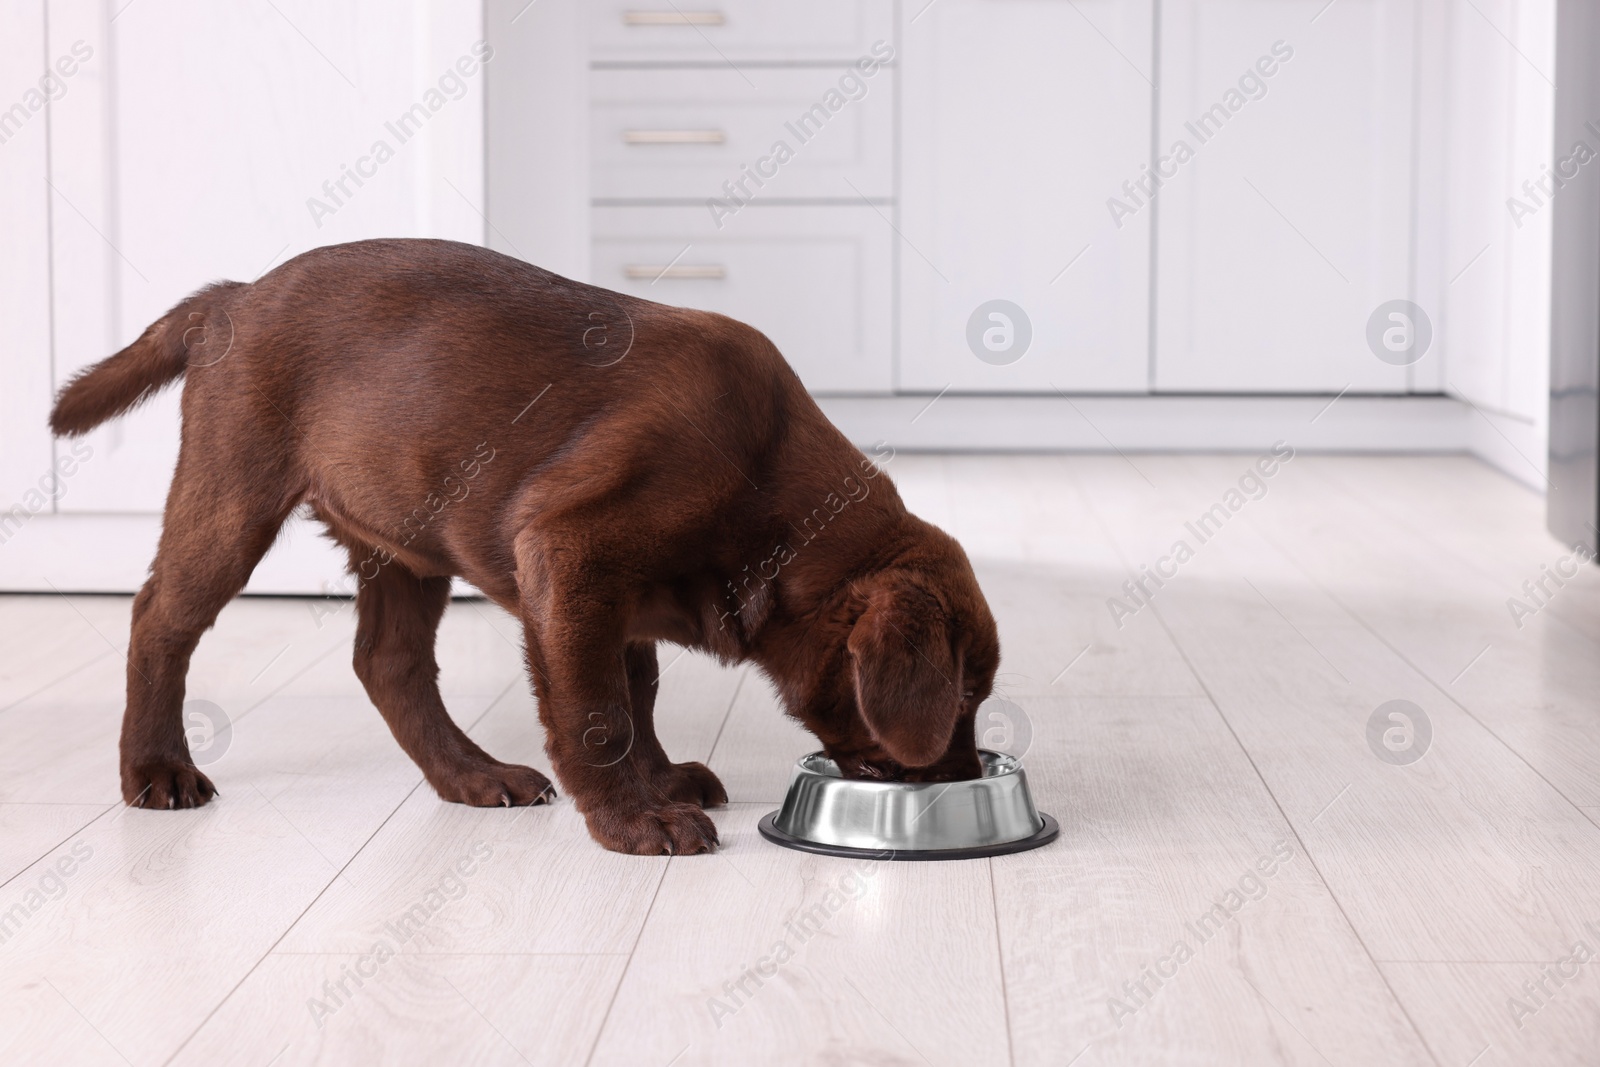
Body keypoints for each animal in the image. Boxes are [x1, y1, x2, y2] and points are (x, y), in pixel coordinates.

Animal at [50, 238, 992, 857]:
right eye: (962, 695)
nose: (959, 777)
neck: (770, 493)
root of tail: (231, 297)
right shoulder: (572, 551)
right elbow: (597, 709)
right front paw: (634, 821)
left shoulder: (615, 595)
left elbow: (635, 692)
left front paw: (656, 781)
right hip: (234, 493)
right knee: (160, 618)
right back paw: (157, 769)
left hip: (408, 539)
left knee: (386, 662)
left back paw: (471, 777)